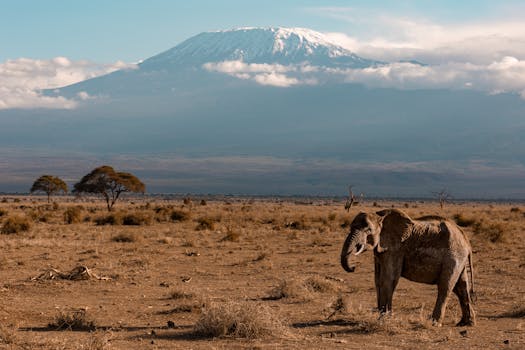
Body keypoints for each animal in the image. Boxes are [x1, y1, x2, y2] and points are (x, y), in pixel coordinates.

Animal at [340, 208, 474, 326]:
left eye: (368, 230)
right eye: (351, 227)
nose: (353, 268)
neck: (380, 216)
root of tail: (466, 241)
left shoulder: (395, 249)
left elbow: (388, 279)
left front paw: (384, 319)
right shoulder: (382, 250)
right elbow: (378, 280)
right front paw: (382, 317)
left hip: (453, 256)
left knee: (445, 286)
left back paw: (435, 323)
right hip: (459, 258)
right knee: (461, 287)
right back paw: (466, 323)